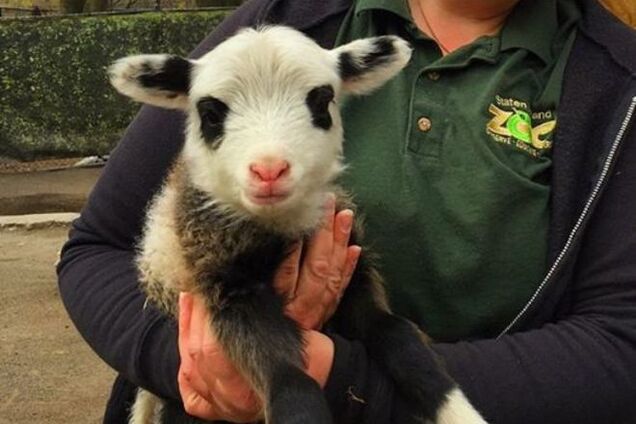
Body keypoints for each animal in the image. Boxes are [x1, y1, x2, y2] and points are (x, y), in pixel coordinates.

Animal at [108, 24, 486, 422]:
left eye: (321, 101)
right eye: (210, 114)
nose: (269, 170)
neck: (279, 224)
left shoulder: (354, 272)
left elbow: (397, 333)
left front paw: (457, 409)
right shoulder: (228, 286)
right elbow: (287, 374)